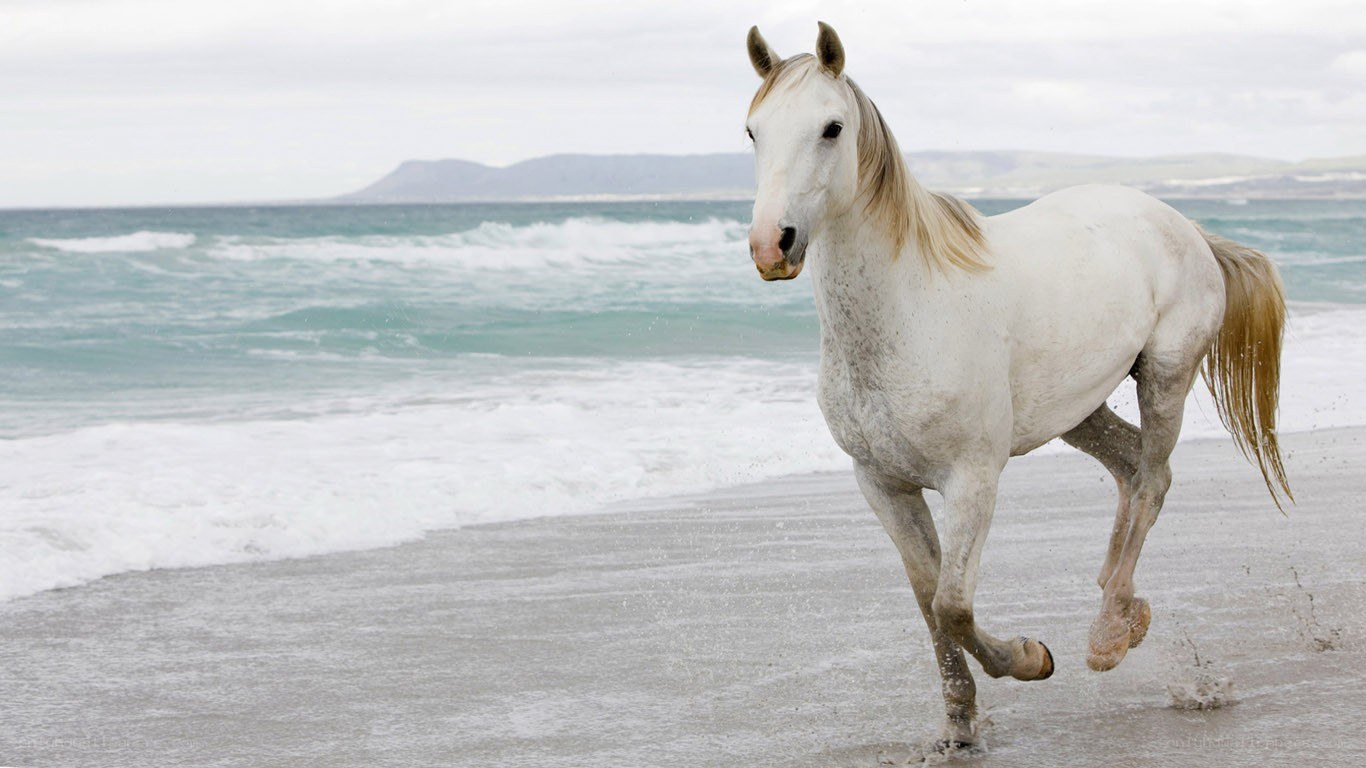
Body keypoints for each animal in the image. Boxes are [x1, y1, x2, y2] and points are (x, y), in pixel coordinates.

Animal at [742, 22, 1292, 748]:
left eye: (831, 127)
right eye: (753, 130)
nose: (771, 245)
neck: (909, 310)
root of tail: (1182, 225)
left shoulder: (972, 478)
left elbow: (952, 603)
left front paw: (1032, 659)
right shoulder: (883, 484)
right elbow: (927, 602)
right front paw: (958, 724)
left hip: (1166, 376)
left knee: (1153, 478)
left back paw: (1108, 633)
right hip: (1078, 409)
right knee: (1130, 466)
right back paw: (1122, 608)